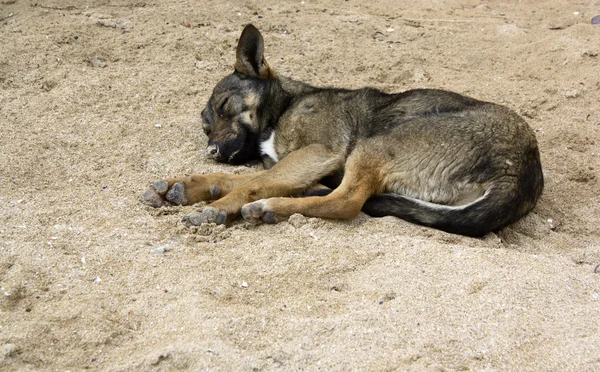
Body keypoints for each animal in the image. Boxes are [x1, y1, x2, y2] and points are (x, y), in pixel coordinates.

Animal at [142, 24, 544, 237]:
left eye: (225, 106)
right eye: (206, 126)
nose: (211, 151)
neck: (285, 106)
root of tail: (523, 171)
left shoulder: (319, 152)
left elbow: (250, 184)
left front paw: (216, 208)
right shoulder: (293, 163)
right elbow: (235, 179)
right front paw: (185, 186)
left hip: (373, 145)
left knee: (346, 202)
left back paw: (271, 207)